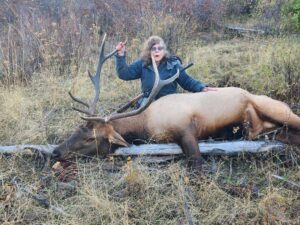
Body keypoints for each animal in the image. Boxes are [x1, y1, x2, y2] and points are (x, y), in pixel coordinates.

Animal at [51, 33, 300, 167]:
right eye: (76, 130)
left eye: (90, 139)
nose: (55, 152)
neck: (145, 124)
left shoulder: (186, 130)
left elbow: (196, 161)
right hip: (268, 128)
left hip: (276, 109)